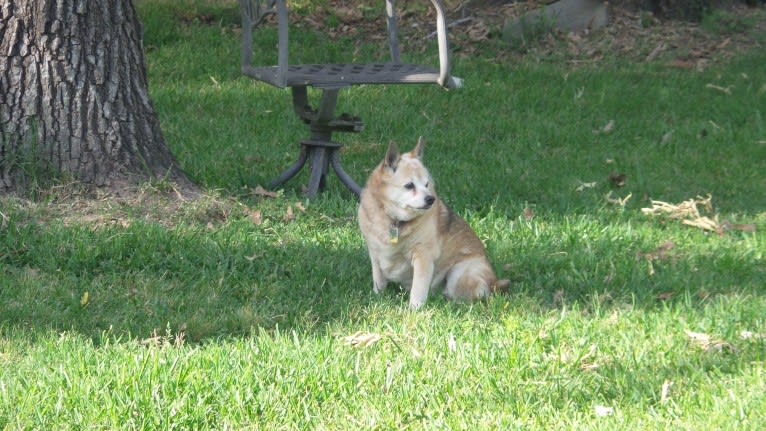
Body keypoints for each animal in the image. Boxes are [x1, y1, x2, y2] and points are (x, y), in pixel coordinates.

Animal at [360, 138, 510, 310]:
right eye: (409, 185)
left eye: (426, 184)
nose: (430, 199)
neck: (394, 221)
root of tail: (494, 282)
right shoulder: (375, 253)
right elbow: (378, 279)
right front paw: (377, 297)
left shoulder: (423, 257)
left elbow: (418, 289)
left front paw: (414, 310)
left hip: (460, 272)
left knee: (473, 296)